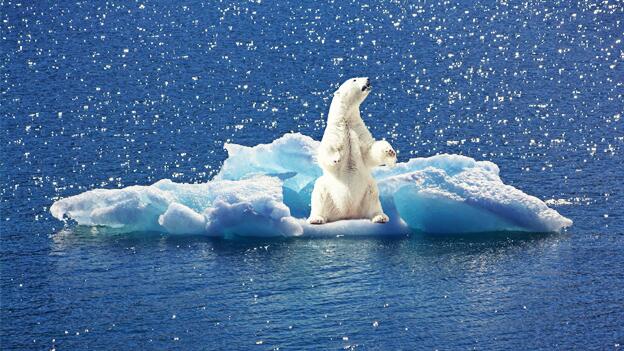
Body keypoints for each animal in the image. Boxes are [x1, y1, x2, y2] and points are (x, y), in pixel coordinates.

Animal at [308, 77, 400, 226]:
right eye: (354, 79)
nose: (368, 79)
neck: (346, 119)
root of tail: (347, 213)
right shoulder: (334, 133)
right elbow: (326, 152)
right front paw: (336, 158)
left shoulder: (358, 130)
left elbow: (369, 151)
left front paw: (390, 151)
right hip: (328, 190)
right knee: (319, 194)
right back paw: (316, 218)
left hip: (367, 190)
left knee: (373, 198)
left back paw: (380, 217)